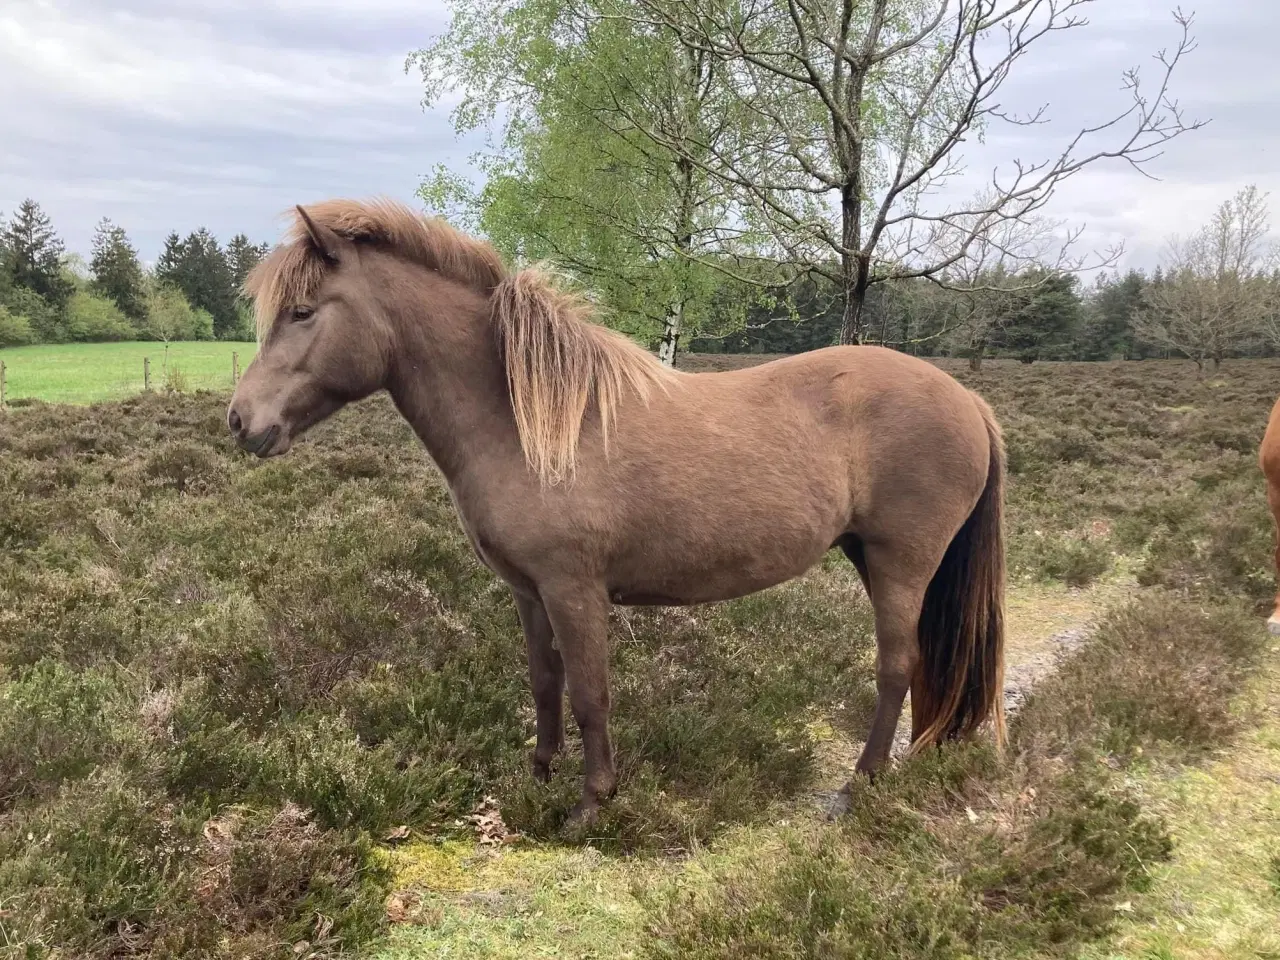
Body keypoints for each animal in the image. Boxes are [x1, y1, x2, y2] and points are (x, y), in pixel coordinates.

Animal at [230, 199, 1008, 824]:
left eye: (303, 311)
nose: (242, 421)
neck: (527, 422)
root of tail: (969, 401)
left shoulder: (575, 590)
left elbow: (589, 694)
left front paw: (591, 803)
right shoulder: (529, 591)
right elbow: (545, 683)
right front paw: (539, 775)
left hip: (901, 561)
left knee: (897, 665)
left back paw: (861, 784)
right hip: (871, 556)